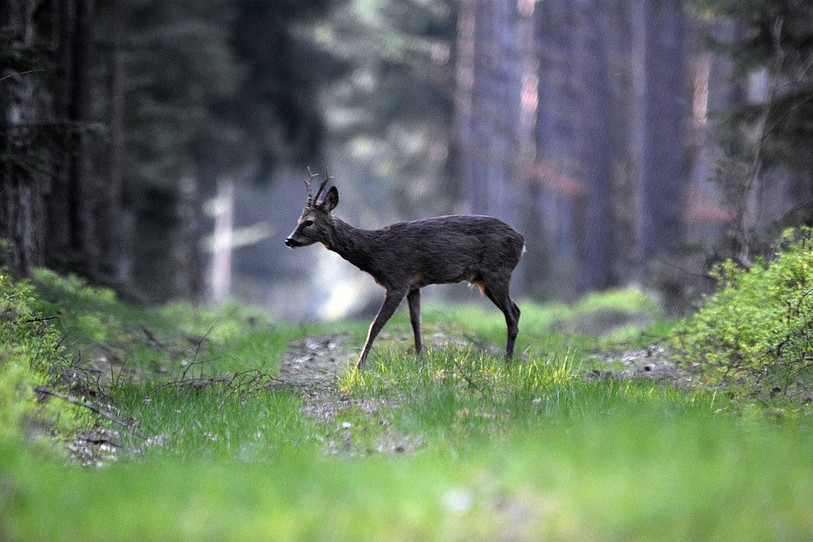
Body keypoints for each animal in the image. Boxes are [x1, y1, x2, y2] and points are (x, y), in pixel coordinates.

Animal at [285, 168, 525, 369]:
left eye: (309, 222)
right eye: (298, 219)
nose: (289, 240)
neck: (374, 253)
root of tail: (521, 241)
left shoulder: (397, 280)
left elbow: (375, 325)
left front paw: (358, 367)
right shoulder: (413, 286)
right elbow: (415, 322)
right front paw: (420, 360)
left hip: (497, 271)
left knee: (512, 314)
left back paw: (507, 363)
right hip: (483, 279)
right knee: (516, 310)